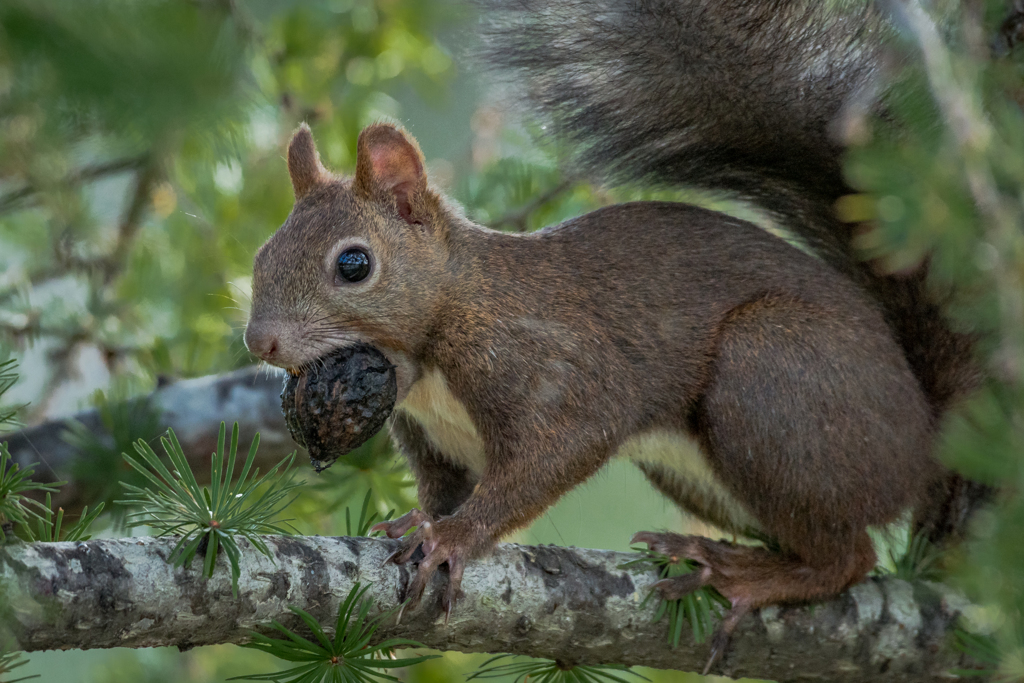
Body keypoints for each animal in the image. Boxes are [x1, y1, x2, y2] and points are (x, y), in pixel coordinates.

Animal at [243, 0, 987, 671]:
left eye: (354, 264)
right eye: (261, 254)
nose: (260, 343)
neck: (429, 351)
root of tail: (925, 435)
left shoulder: (548, 365)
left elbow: (554, 453)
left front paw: (453, 537)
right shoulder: (433, 439)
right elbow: (444, 487)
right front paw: (413, 523)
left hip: (770, 378)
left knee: (850, 558)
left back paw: (746, 576)